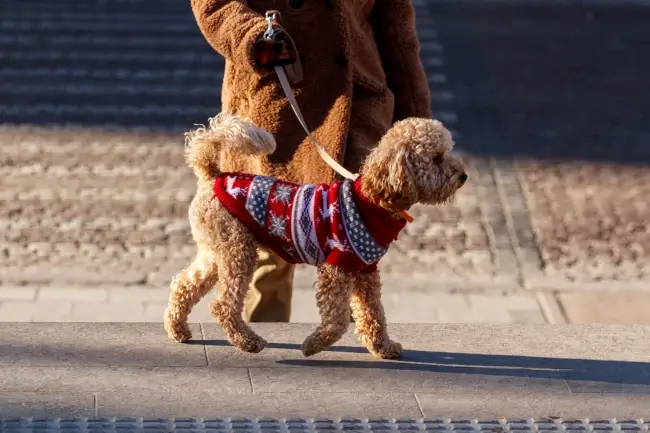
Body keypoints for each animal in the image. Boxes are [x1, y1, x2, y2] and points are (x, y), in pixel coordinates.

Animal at [162, 112, 466, 358]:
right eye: (436, 158)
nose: (463, 176)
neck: (374, 200)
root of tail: (212, 176)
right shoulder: (337, 268)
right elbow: (338, 320)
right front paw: (313, 345)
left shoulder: (365, 271)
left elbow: (373, 313)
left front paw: (384, 347)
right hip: (238, 251)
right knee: (223, 304)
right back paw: (248, 341)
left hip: (217, 251)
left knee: (184, 284)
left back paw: (178, 330)